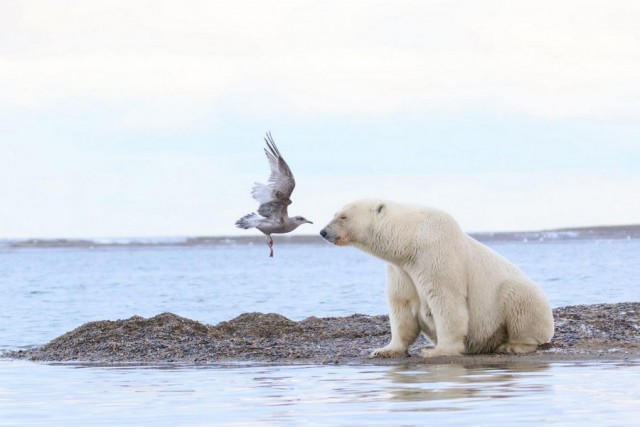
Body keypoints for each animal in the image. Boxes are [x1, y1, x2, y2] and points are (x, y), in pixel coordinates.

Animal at [320, 201, 556, 358]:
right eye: (335, 213)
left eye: (343, 217)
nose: (323, 231)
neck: (410, 241)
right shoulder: (401, 270)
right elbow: (402, 307)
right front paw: (384, 350)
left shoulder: (437, 255)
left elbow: (446, 301)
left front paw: (437, 351)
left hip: (521, 296)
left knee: (518, 300)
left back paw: (512, 345)